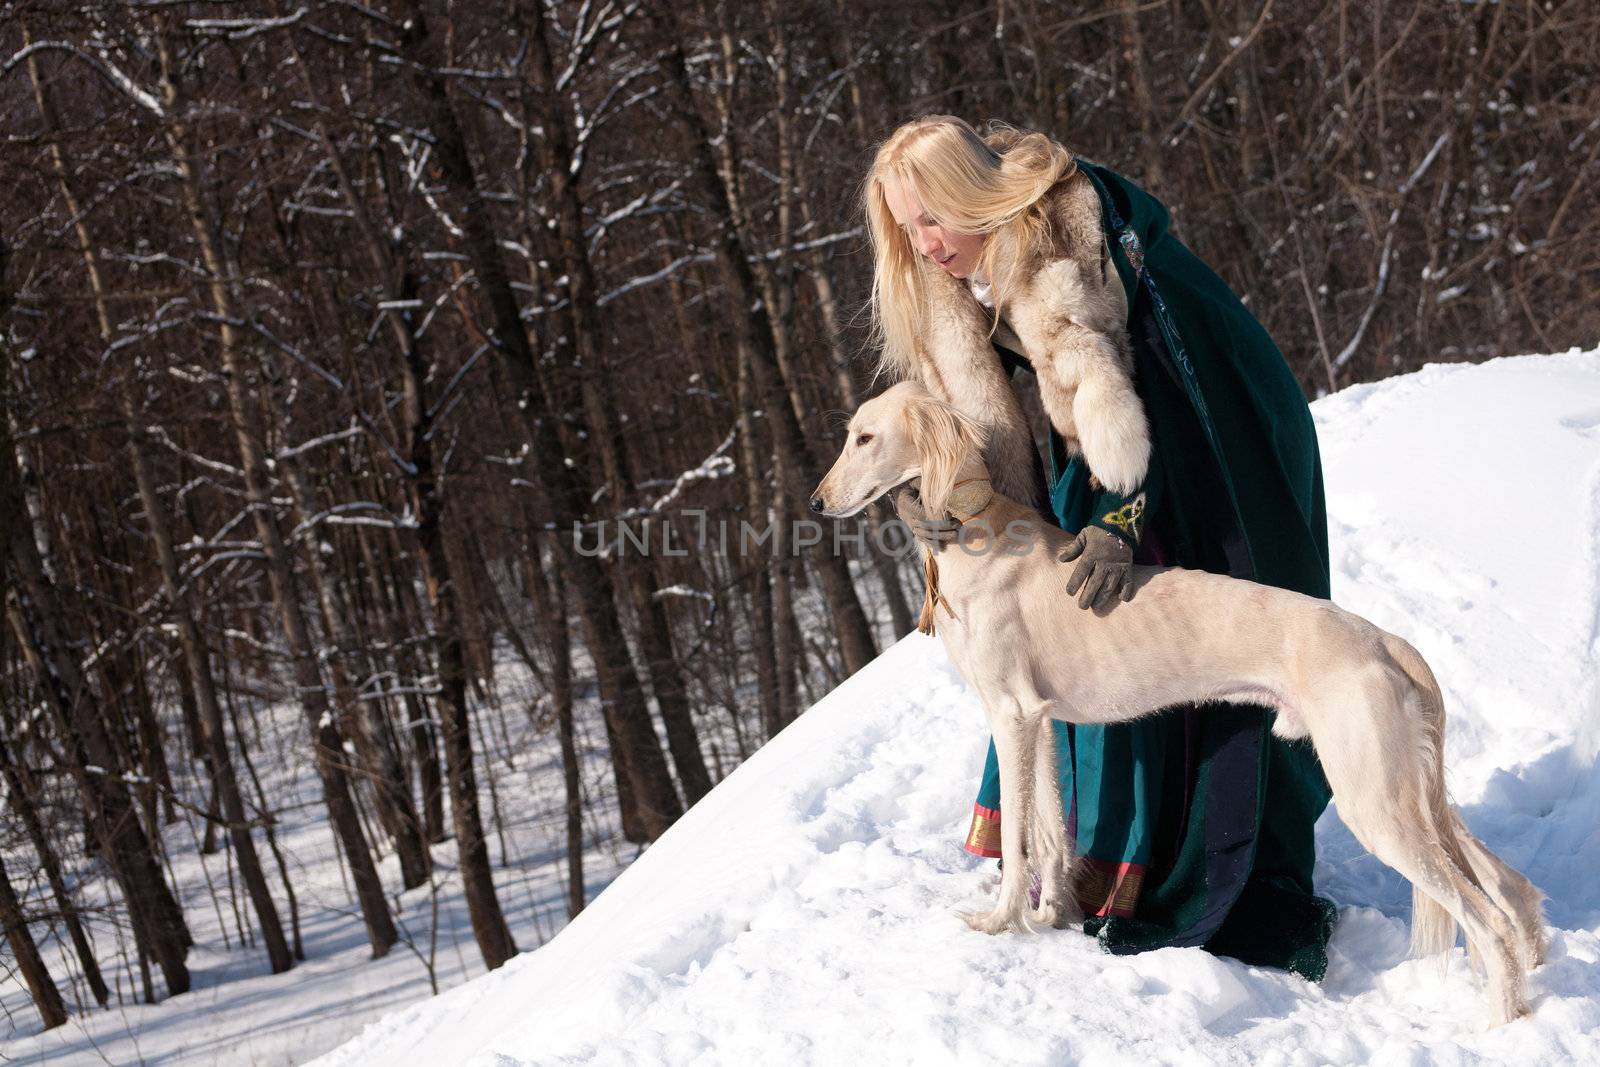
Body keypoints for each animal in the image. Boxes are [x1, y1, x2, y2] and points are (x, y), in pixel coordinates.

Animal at [812, 382, 1548, 1023]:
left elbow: (1019, 844)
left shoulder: (1009, 714)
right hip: (1411, 789)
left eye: (866, 437)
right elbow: (1050, 830)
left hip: (1376, 800)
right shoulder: (1042, 721)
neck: (975, 530)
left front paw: (999, 922)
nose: (818, 503)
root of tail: (1385, 640)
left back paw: (1502, 1025)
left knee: (1487, 919)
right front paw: (1049, 918)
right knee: (1506, 886)